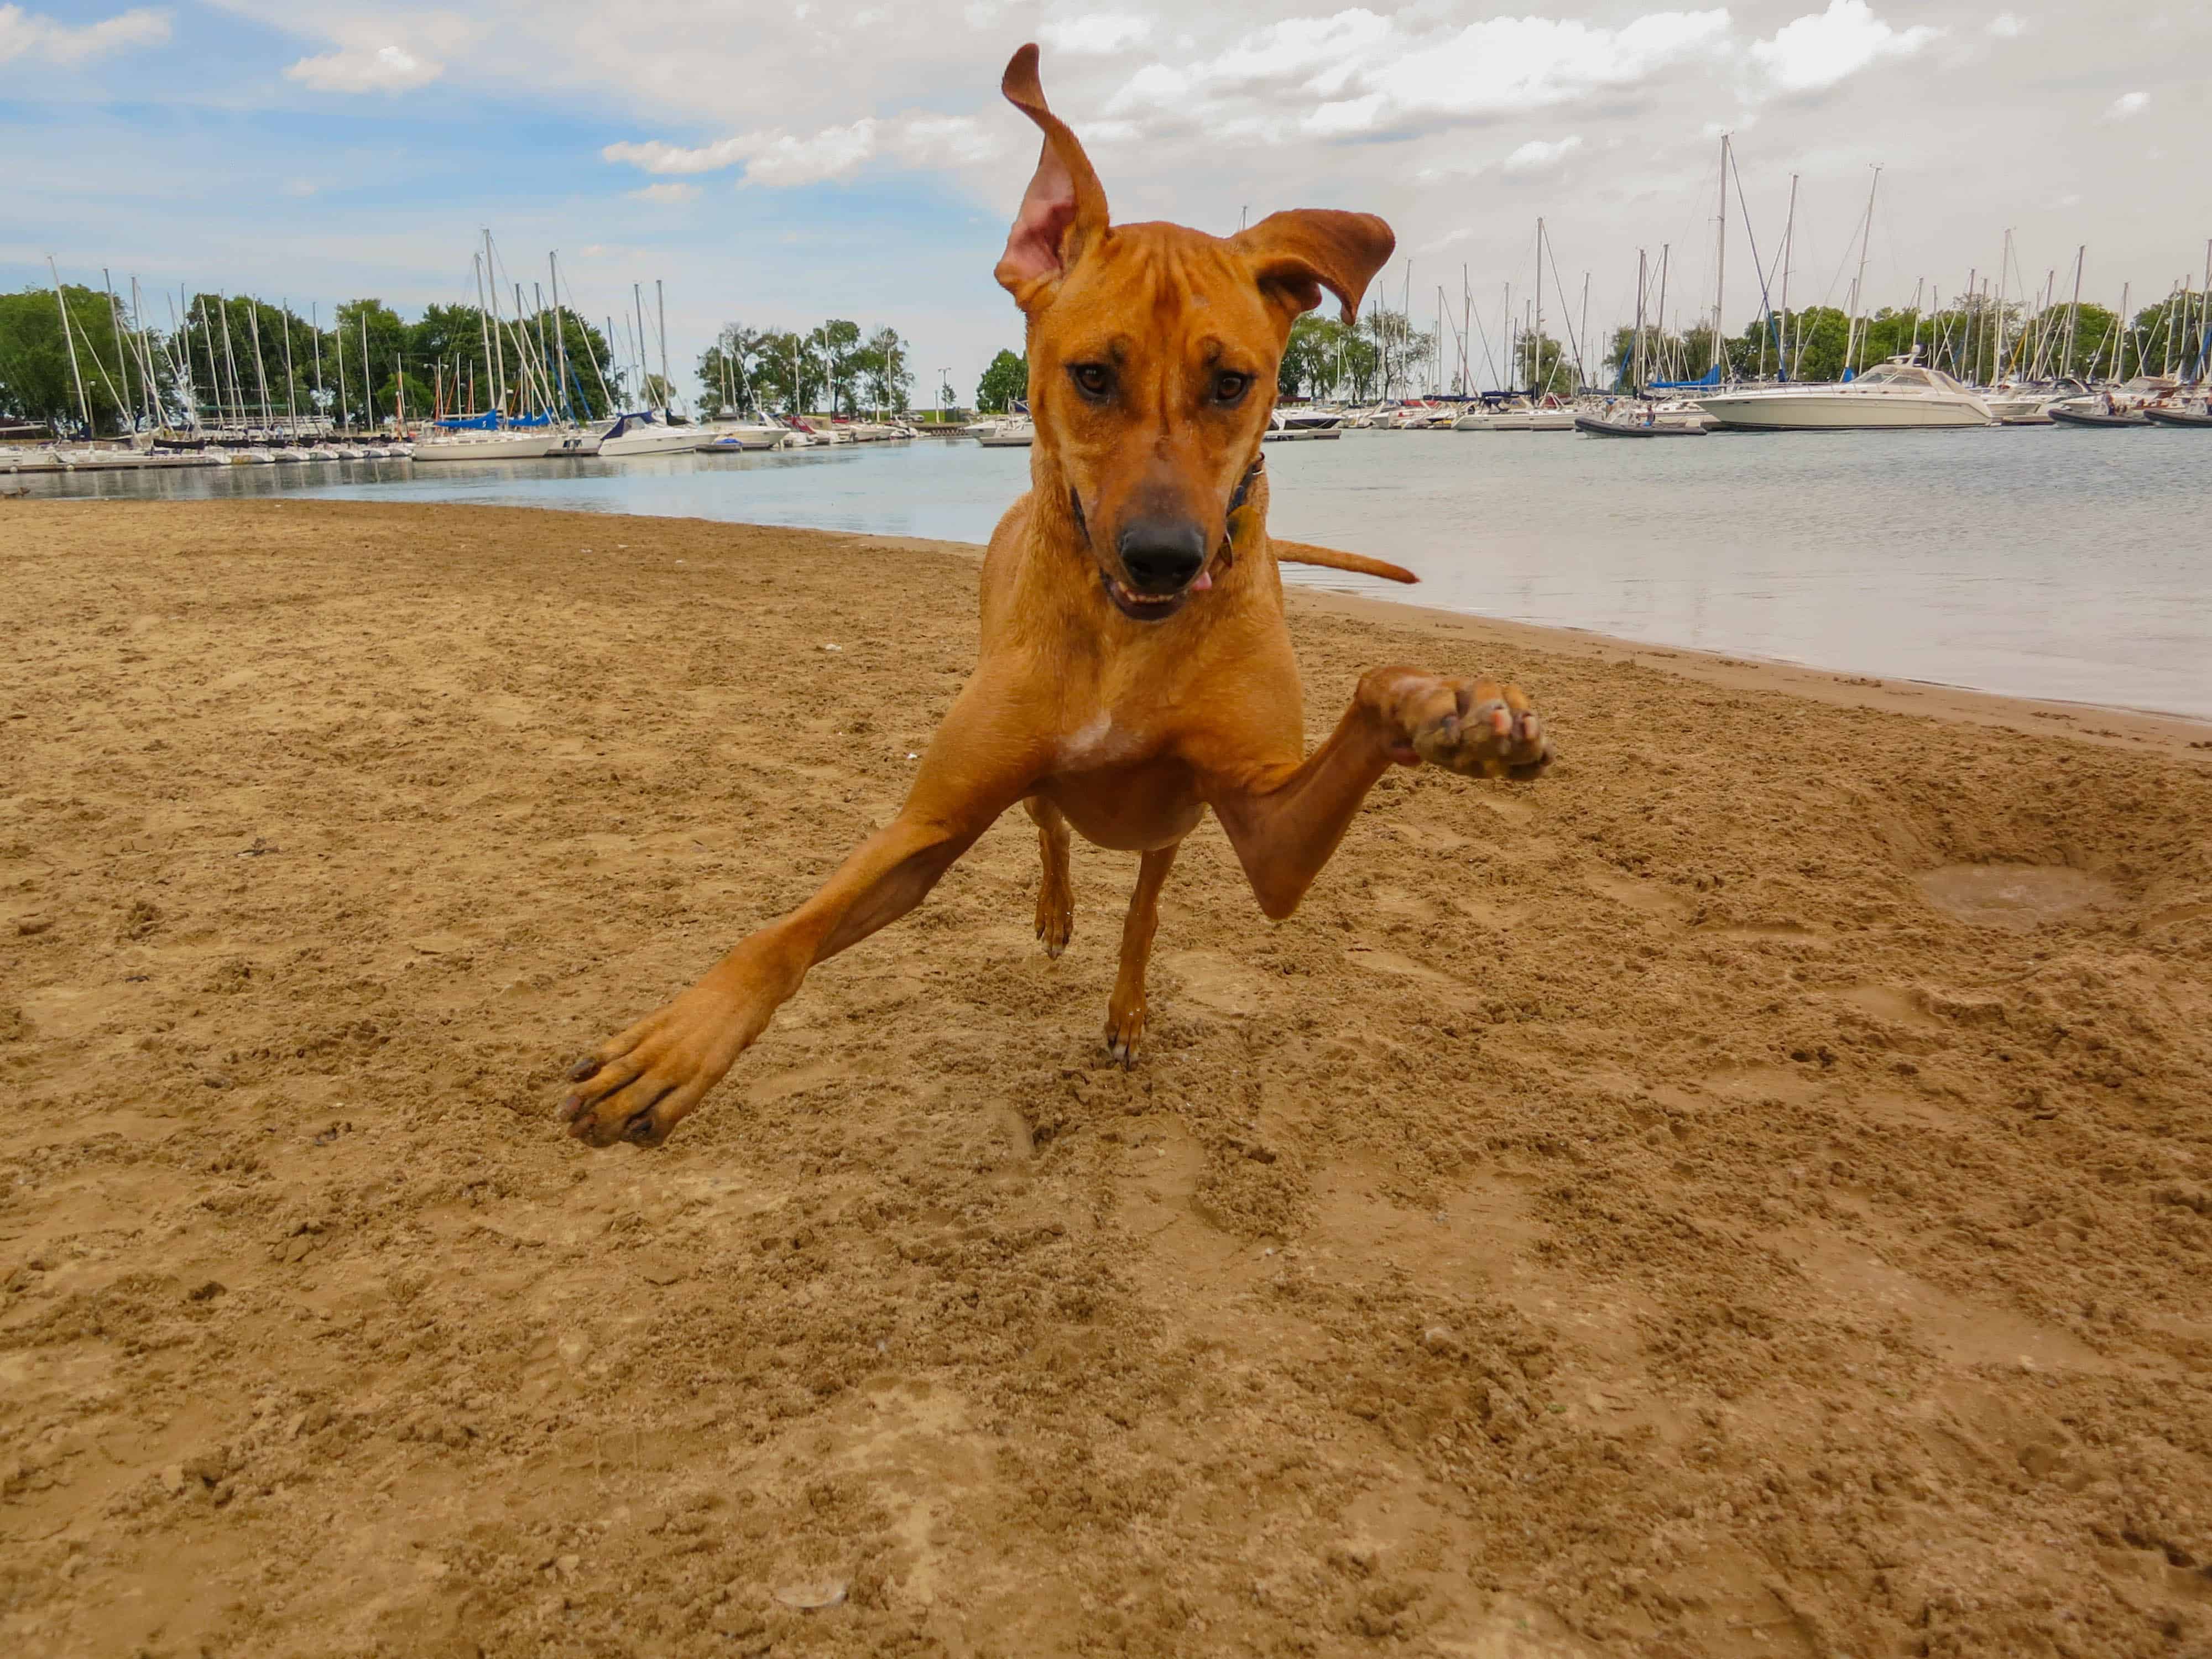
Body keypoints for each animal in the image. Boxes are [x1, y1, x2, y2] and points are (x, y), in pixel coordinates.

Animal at [562, 45, 1548, 1150]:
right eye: (1092, 375)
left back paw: (1126, 1000)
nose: (1165, 558)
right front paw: (681, 1040)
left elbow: (1368, 701)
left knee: (1146, 901)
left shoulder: (1267, 832)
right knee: (1048, 826)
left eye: (1233, 383)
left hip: (1175, 829)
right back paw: (1055, 910)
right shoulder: (929, 825)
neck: (1123, 639)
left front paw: (1449, 710)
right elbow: (789, 929)